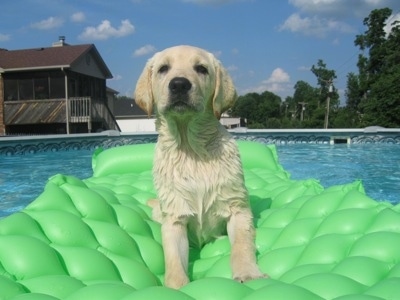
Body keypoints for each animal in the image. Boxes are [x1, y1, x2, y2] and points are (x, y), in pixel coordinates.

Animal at [135, 45, 266, 288]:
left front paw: (248, 273)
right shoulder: (174, 218)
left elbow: (242, 246)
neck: (191, 149)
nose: (179, 84)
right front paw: (176, 287)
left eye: (201, 69)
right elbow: (174, 260)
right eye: (163, 68)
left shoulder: (238, 209)